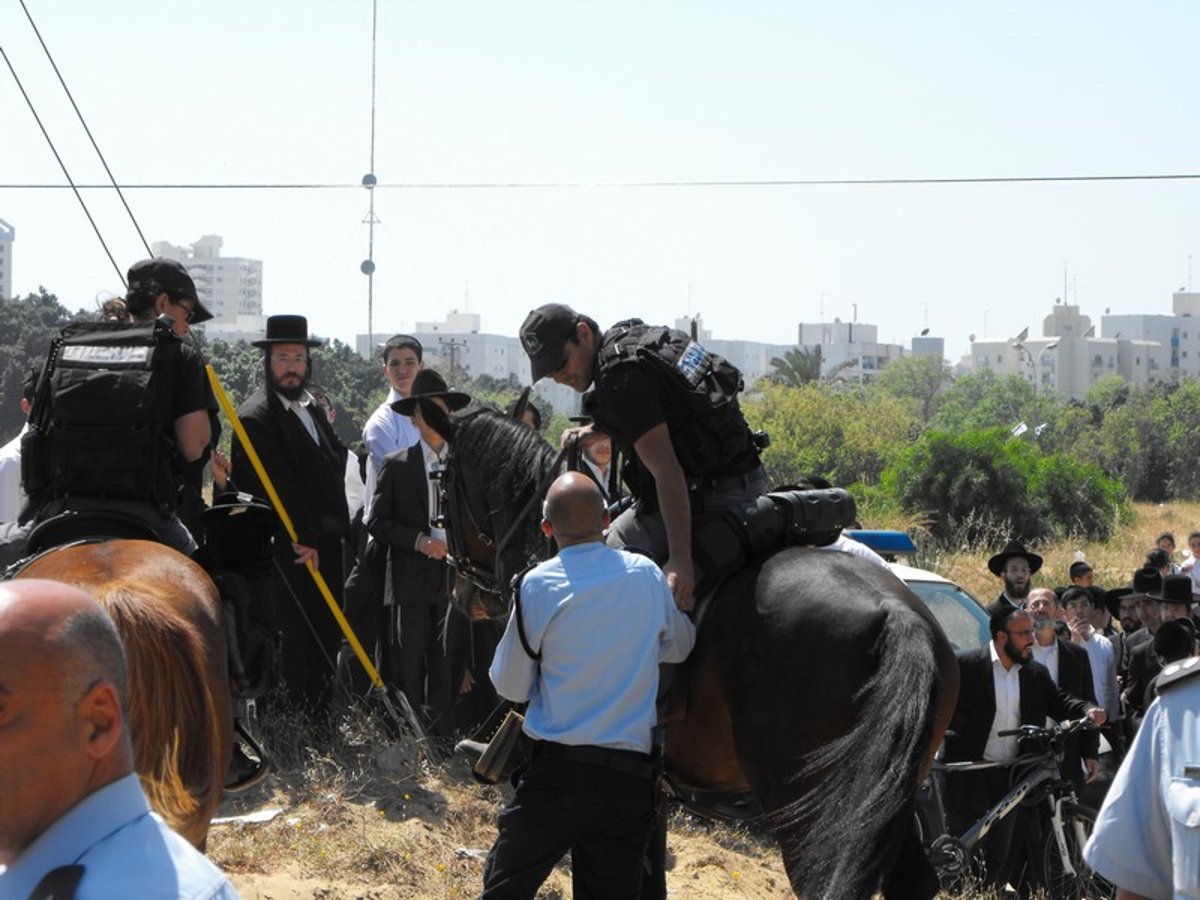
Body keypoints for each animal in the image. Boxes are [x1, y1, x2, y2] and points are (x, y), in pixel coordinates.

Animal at [439, 410, 955, 900]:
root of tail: (895, 614)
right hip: (885, 799)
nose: (462, 593)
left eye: (442, 486)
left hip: (810, 809)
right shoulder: (650, 789)